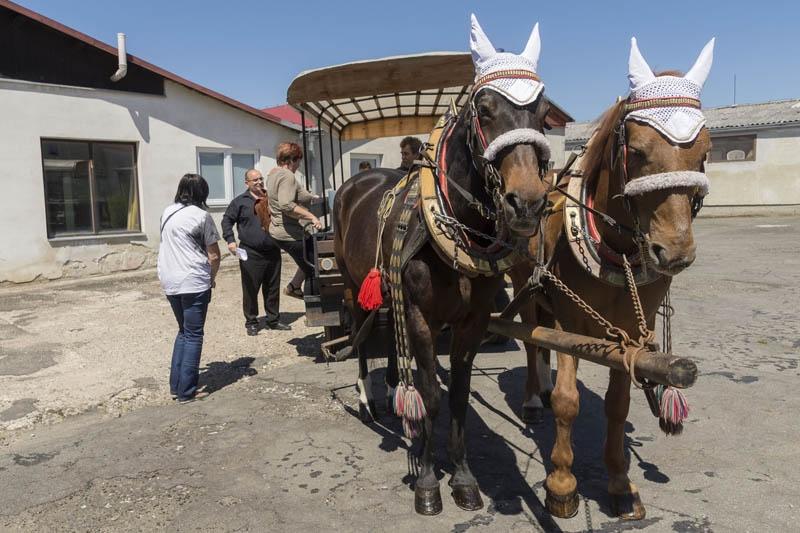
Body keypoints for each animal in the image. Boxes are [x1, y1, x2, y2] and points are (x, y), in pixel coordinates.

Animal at [333, 15, 552, 515]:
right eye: (484, 108)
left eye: (542, 109)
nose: (527, 202)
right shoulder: (421, 316)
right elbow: (433, 396)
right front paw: (429, 481)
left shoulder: (472, 321)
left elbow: (457, 399)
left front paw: (464, 477)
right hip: (354, 282)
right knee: (361, 331)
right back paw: (367, 396)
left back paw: (394, 384)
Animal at [511, 37, 715, 520]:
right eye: (637, 151)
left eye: (704, 152)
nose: (674, 252)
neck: (615, 249)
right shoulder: (569, 320)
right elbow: (568, 401)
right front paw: (561, 483)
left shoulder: (632, 333)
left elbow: (619, 406)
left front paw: (620, 483)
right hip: (526, 290)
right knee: (531, 341)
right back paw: (533, 397)